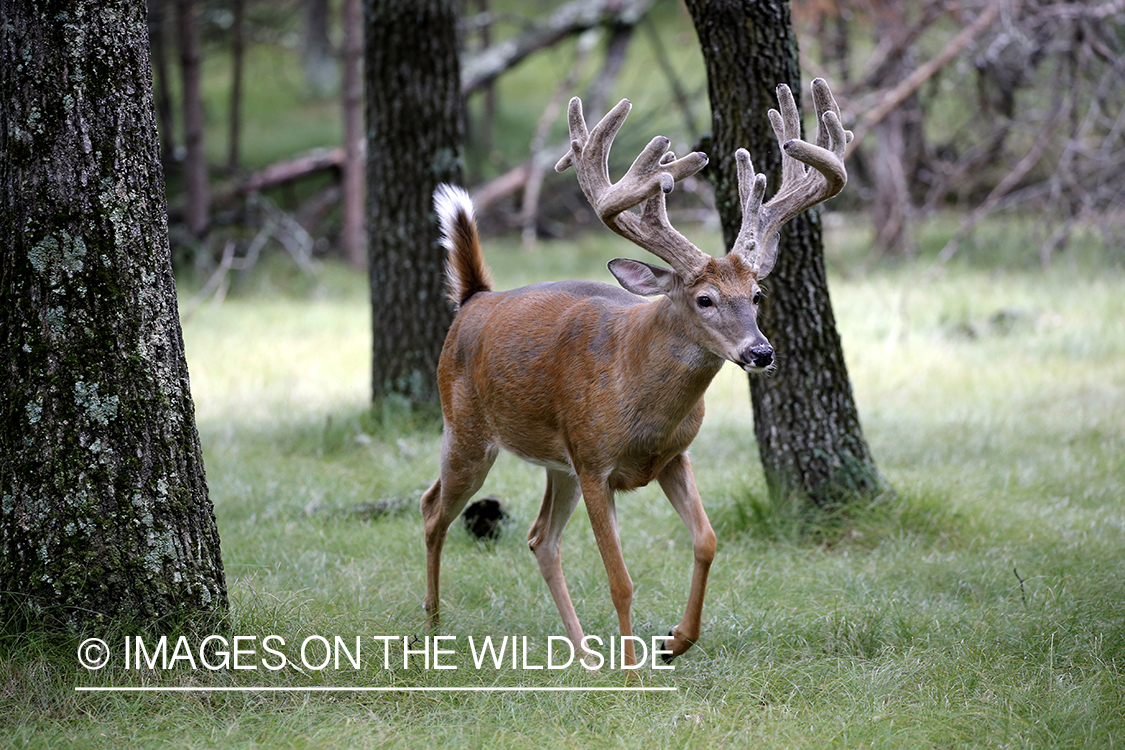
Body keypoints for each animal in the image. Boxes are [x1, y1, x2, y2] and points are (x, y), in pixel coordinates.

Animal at [423, 76, 850, 665]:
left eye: (758, 294)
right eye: (704, 299)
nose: (761, 352)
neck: (641, 402)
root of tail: (475, 299)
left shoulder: (672, 455)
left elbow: (707, 540)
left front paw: (674, 642)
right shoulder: (595, 462)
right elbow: (620, 579)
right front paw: (633, 672)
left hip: (557, 462)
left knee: (539, 537)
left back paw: (582, 653)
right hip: (468, 430)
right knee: (432, 509)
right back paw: (433, 624)